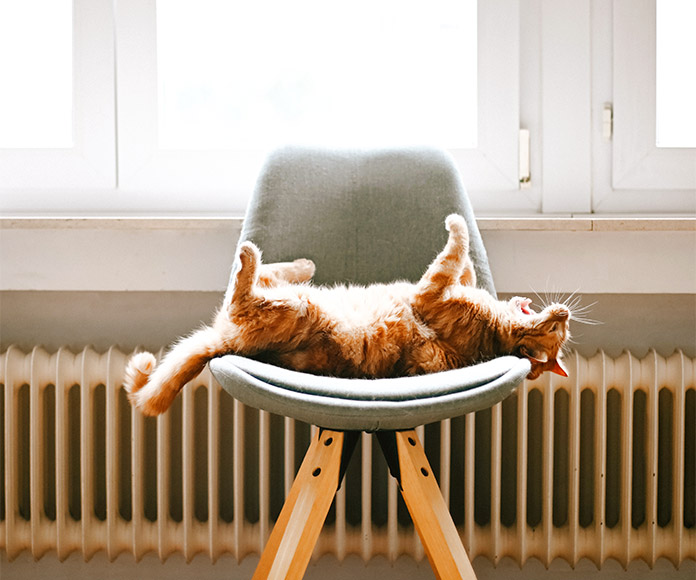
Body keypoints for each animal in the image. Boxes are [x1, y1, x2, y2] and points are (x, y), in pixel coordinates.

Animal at [125, 215, 572, 414]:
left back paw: (250, 256)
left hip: (293, 307)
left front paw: (454, 221)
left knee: (241, 289)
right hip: (291, 296)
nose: (565, 312)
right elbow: (466, 267)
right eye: (559, 329)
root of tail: (225, 342)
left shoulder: (432, 291)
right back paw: (300, 263)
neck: (495, 336)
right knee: (269, 275)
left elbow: (456, 247)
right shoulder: (447, 286)